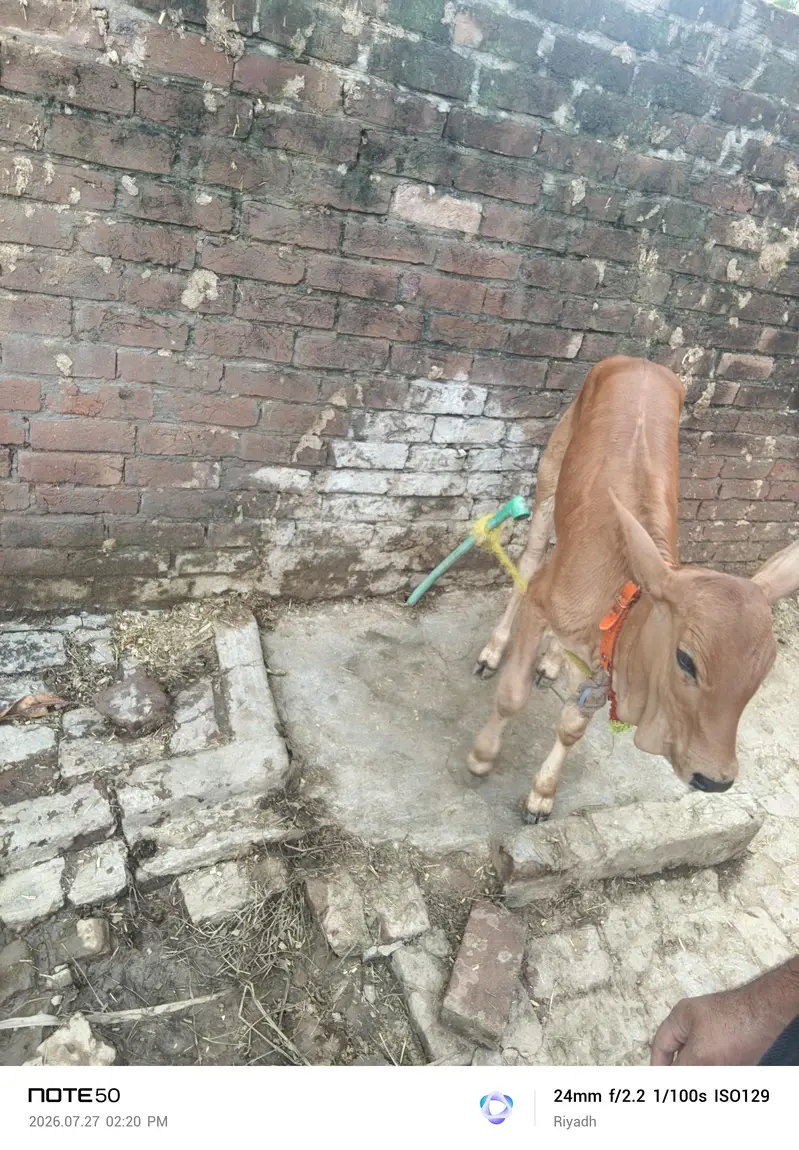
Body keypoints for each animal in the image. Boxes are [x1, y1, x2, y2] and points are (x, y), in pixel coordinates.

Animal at [467, 355, 799, 824]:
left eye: (766, 668)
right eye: (685, 659)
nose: (715, 780)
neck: (619, 595)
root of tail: (638, 361)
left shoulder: (606, 667)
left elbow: (571, 727)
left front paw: (542, 794)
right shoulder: (541, 600)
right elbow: (512, 697)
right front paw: (482, 756)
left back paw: (550, 662)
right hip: (552, 468)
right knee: (530, 557)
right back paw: (494, 651)